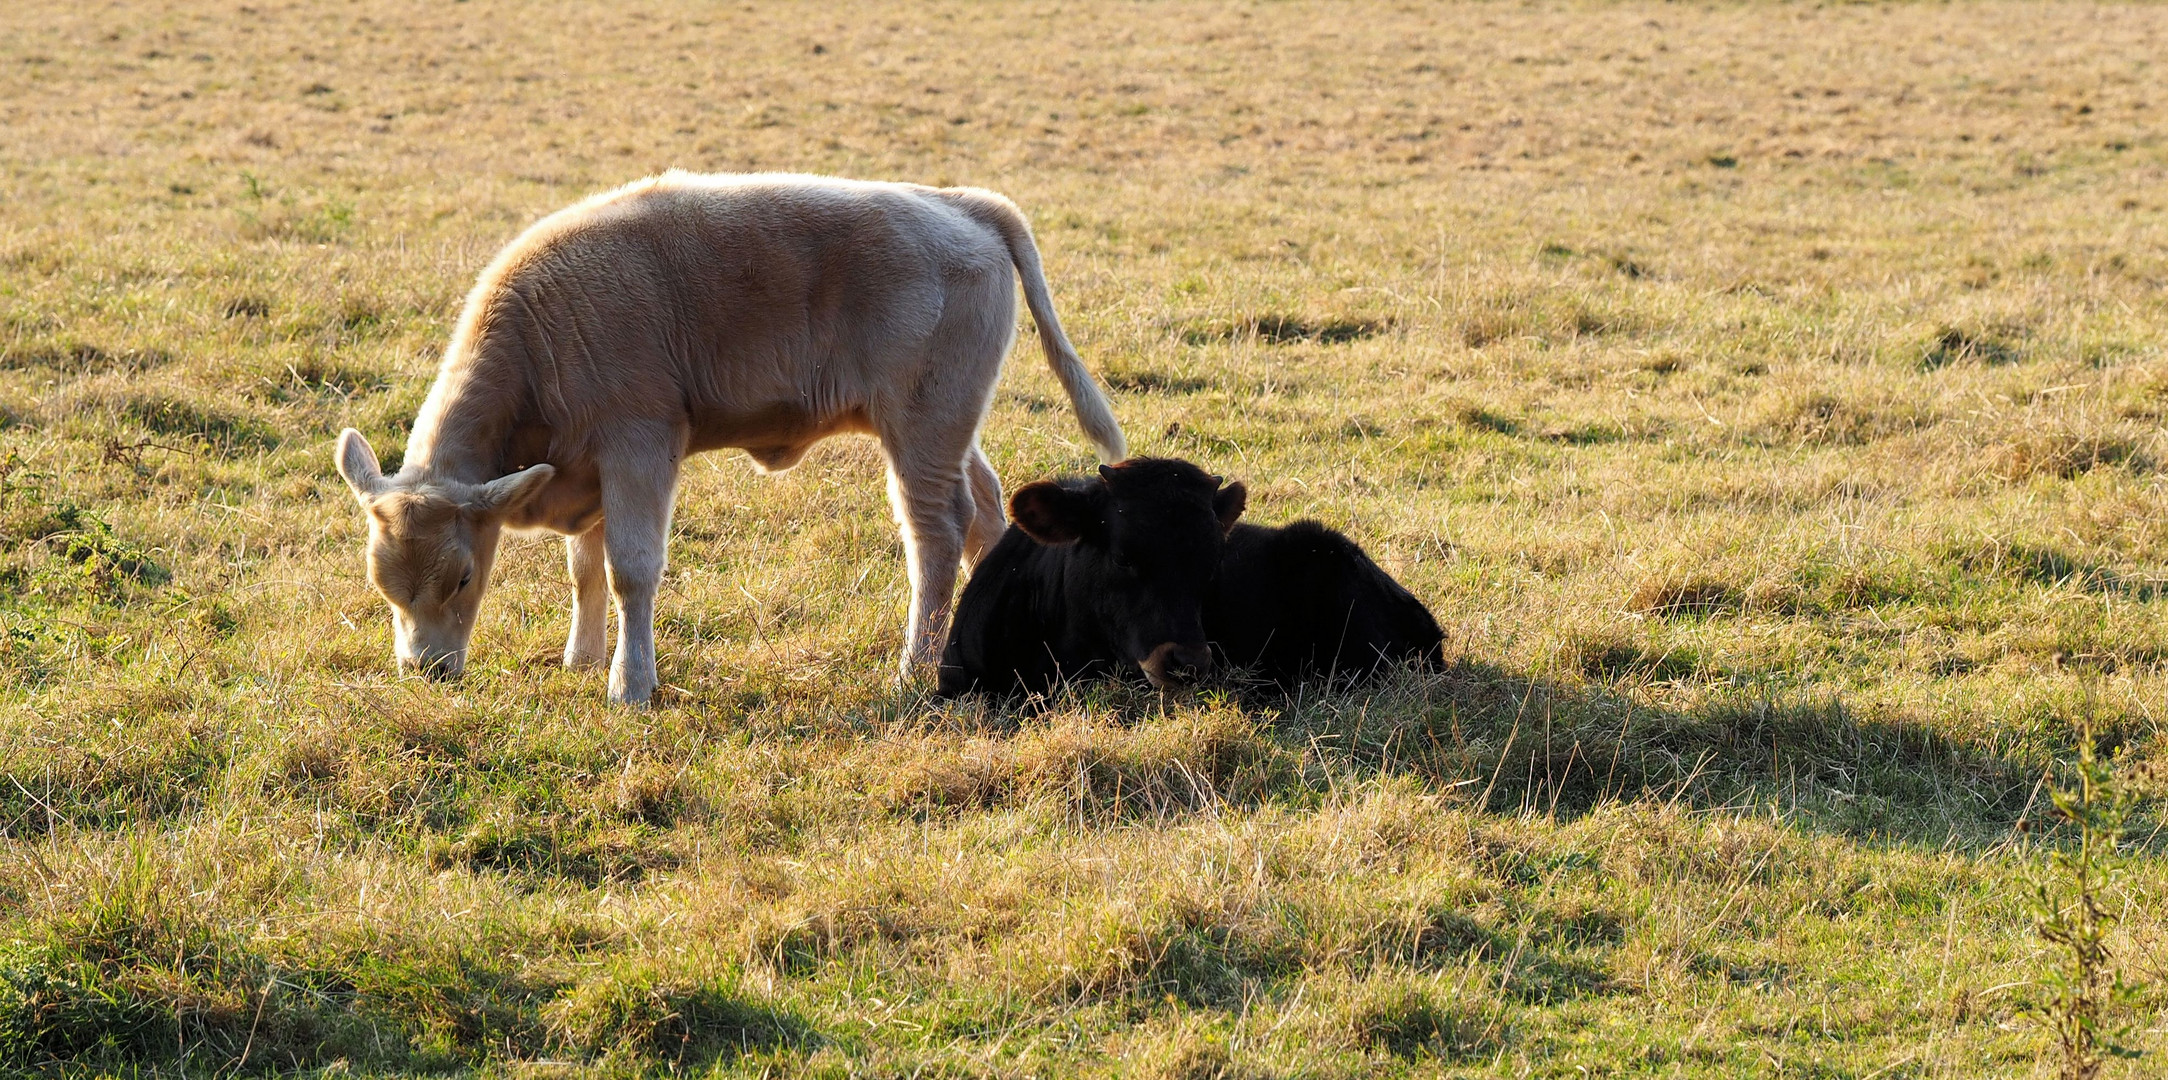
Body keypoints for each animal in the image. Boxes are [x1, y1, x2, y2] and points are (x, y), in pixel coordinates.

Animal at [333, 173, 1136, 702]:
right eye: (382, 584)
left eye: (463, 577)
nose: (425, 670)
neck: (542, 337)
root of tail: (963, 204)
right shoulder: (588, 470)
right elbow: (585, 568)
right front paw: (583, 659)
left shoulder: (639, 449)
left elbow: (630, 570)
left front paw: (630, 685)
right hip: (946, 430)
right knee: (987, 512)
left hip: (922, 429)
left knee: (936, 535)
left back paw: (913, 671)